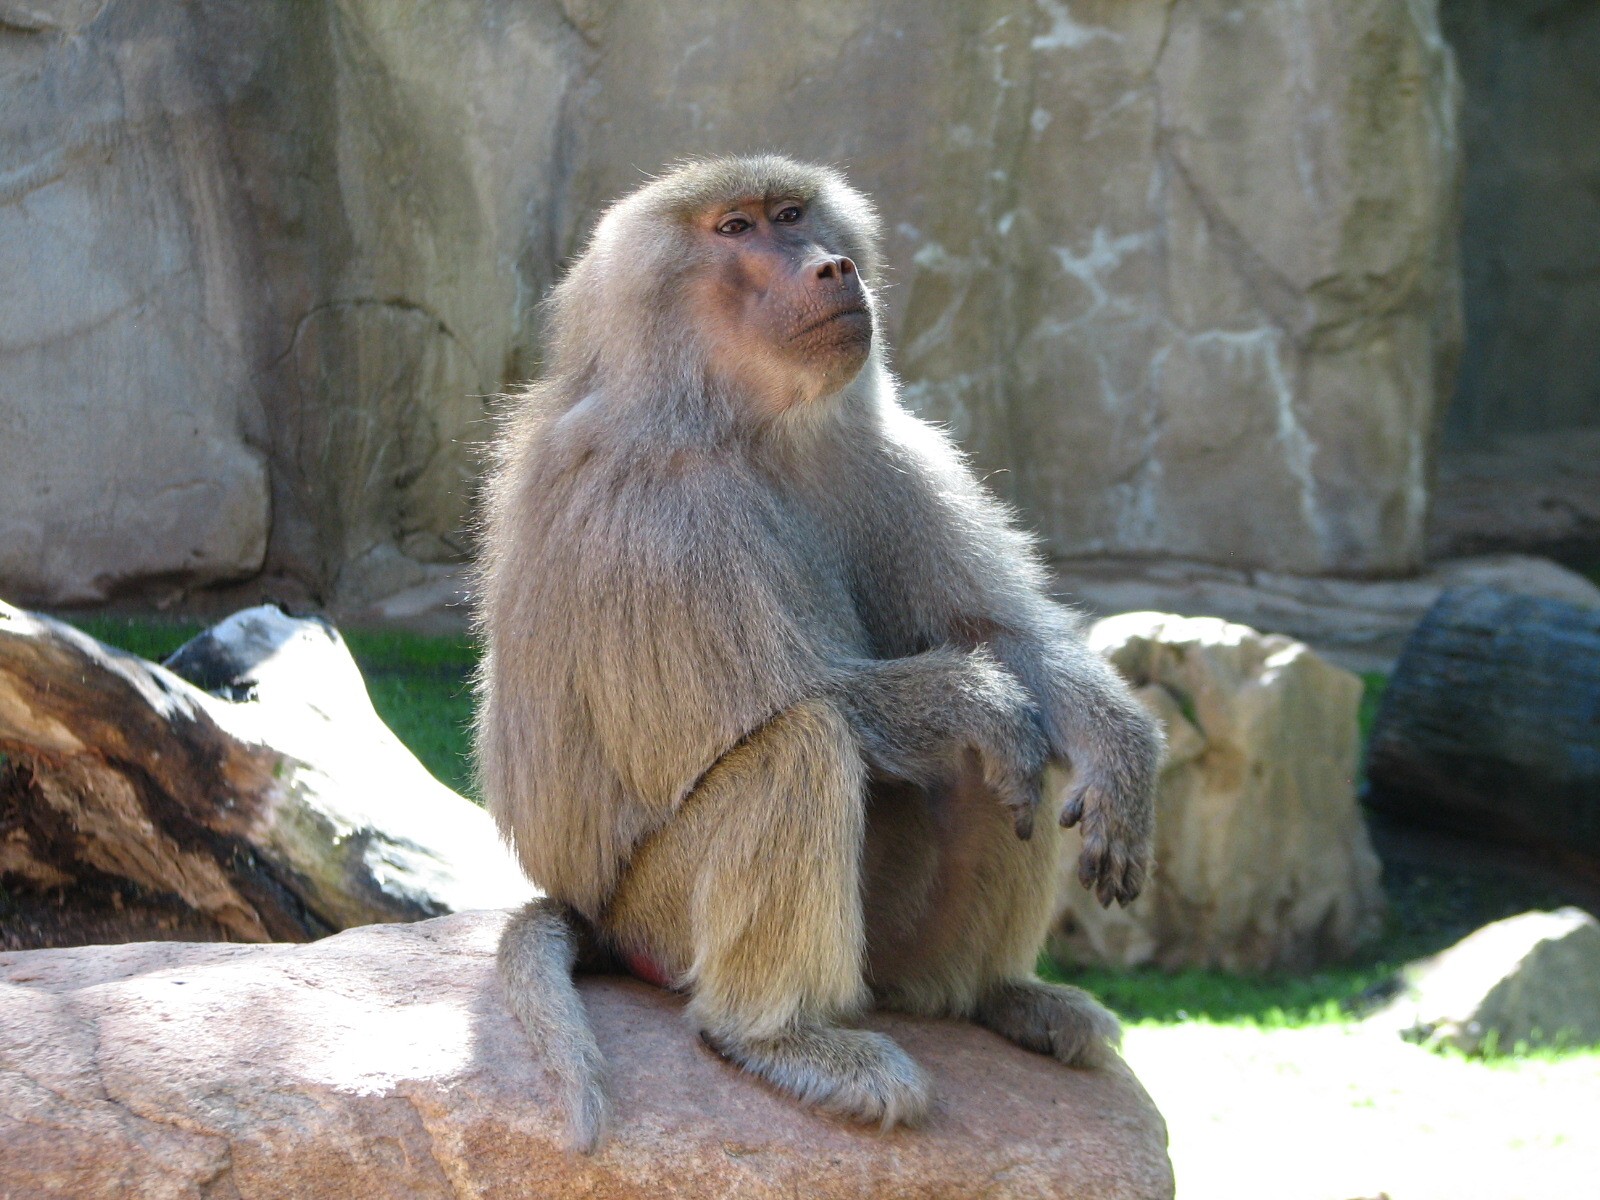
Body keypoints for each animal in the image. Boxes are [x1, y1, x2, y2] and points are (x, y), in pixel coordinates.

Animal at [475, 155, 1163, 1152]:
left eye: (794, 214)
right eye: (737, 228)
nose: (832, 267)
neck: (747, 421)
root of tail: (594, 916)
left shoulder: (886, 457)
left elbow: (1003, 635)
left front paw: (1123, 752)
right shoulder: (662, 508)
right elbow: (802, 697)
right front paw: (979, 702)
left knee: (1010, 771)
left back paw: (996, 997)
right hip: (662, 916)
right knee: (803, 742)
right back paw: (781, 1039)